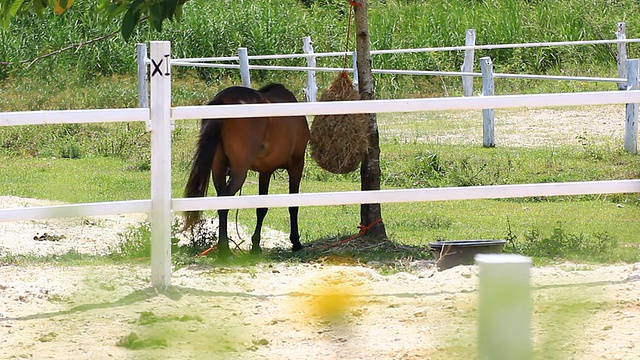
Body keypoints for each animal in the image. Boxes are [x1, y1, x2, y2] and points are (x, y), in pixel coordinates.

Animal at [182, 83, 310, 258]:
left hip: (219, 169)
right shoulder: (296, 165)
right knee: (224, 200)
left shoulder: (266, 171)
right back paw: (225, 250)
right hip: (239, 172)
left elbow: (261, 209)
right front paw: (296, 242)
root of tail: (223, 100)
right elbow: (293, 206)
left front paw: (255, 245)